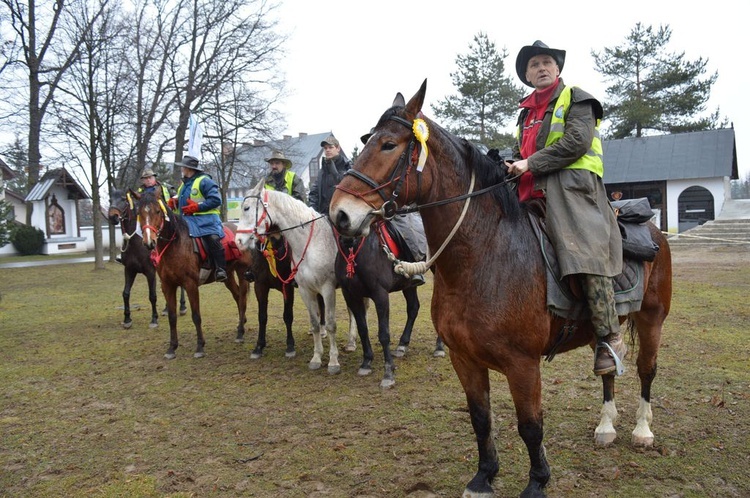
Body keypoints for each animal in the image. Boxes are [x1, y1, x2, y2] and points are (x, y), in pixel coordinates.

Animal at [133, 190, 253, 358]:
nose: (149, 242)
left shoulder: (190, 285)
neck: (176, 244)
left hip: (242, 272)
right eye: (139, 213)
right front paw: (172, 348)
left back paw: (240, 333)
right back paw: (241, 324)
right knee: (237, 296)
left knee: (242, 299)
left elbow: (196, 316)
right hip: (228, 275)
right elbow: (172, 317)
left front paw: (200, 347)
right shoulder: (167, 286)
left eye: (157, 211)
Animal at [239, 187, 360, 374]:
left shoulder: (326, 289)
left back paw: (351, 342)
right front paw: (316, 358)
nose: (238, 240)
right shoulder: (303, 289)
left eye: (246, 208)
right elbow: (313, 322)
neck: (310, 243)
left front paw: (333, 361)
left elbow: (330, 324)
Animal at [332, 80, 672, 496]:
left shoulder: (522, 364)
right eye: (368, 140)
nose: (340, 213)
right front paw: (484, 476)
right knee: (608, 369)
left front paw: (537, 481)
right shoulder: (464, 359)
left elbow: (530, 425)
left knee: (646, 371)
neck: (484, 255)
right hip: (600, 331)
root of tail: (652, 227)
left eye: (388, 144)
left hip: (653, 320)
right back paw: (606, 426)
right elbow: (480, 418)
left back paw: (642, 430)